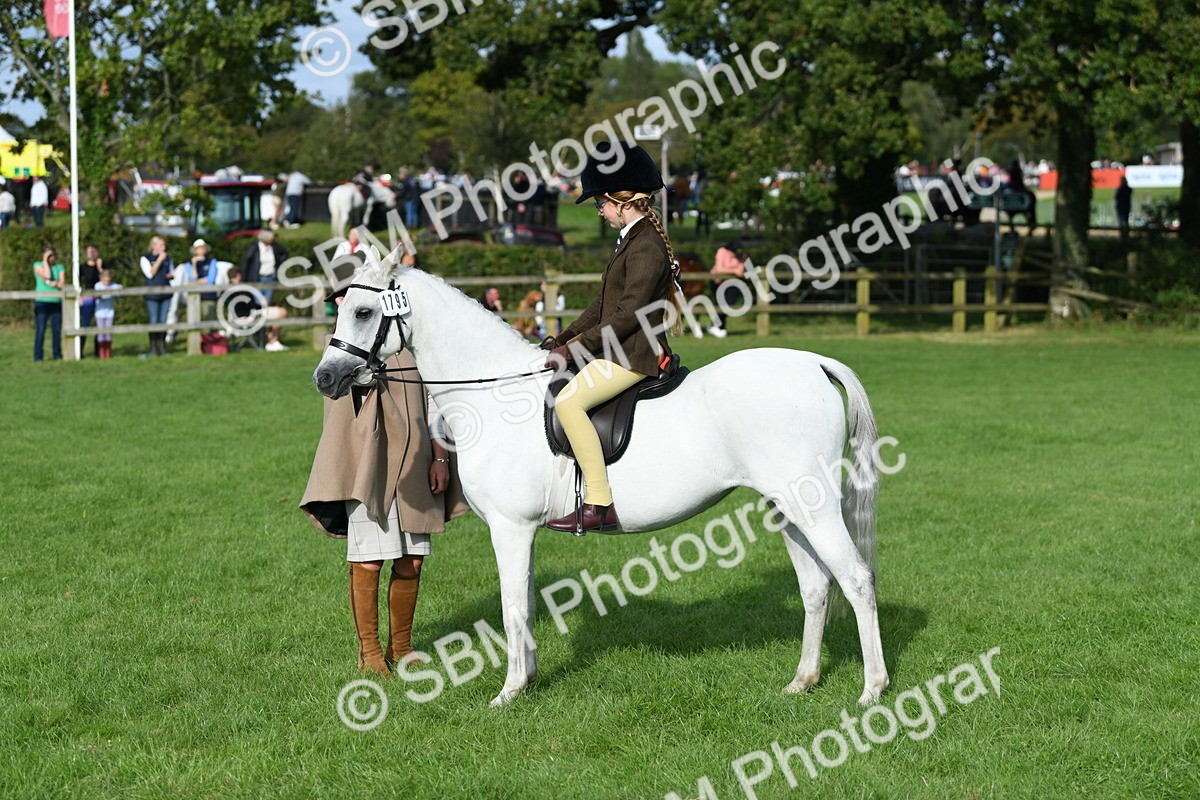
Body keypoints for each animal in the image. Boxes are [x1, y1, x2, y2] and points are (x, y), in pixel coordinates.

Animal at [312, 247, 890, 708]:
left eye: (363, 311)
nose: (325, 378)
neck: (496, 393)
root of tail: (812, 363)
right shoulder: (523, 531)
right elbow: (526, 602)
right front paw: (530, 680)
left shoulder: (509, 528)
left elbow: (512, 607)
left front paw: (508, 693)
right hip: (787, 506)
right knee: (816, 586)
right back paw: (803, 681)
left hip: (812, 506)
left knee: (856, 579)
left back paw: (872, 690)